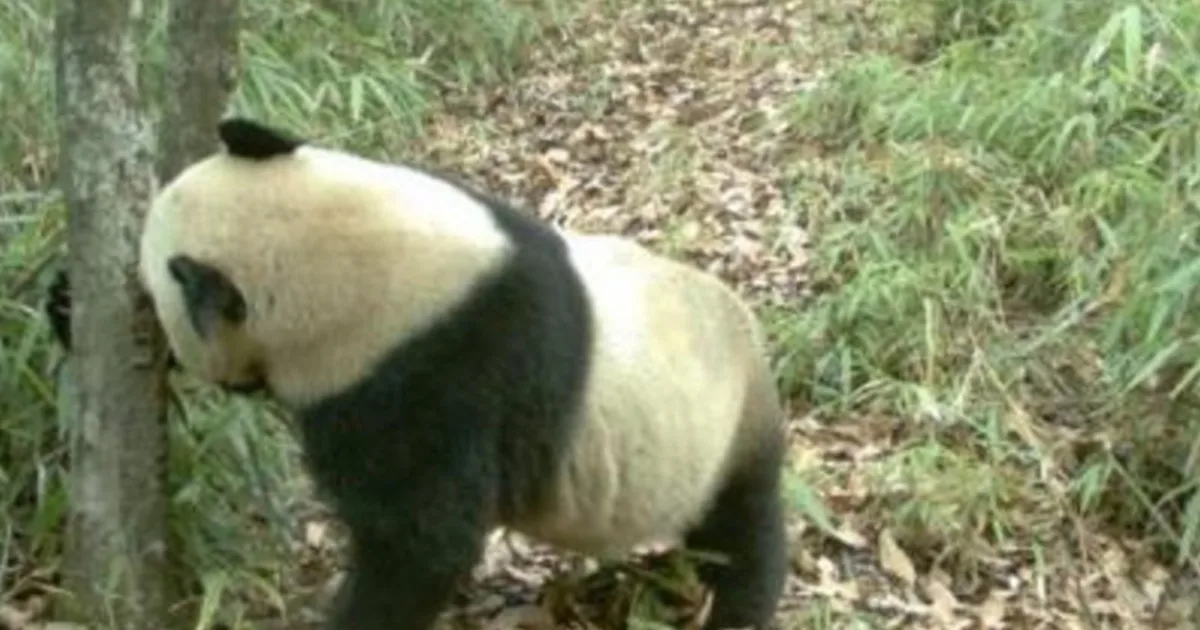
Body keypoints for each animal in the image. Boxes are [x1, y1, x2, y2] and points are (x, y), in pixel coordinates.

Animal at [45, 118, 789, 630]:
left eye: (157, 298)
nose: (143, 306)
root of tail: (751, 335)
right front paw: (64, 303)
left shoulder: (427, 381)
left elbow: (421, 544)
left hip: (719, 434)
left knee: (741, 531)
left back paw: (731, 603)